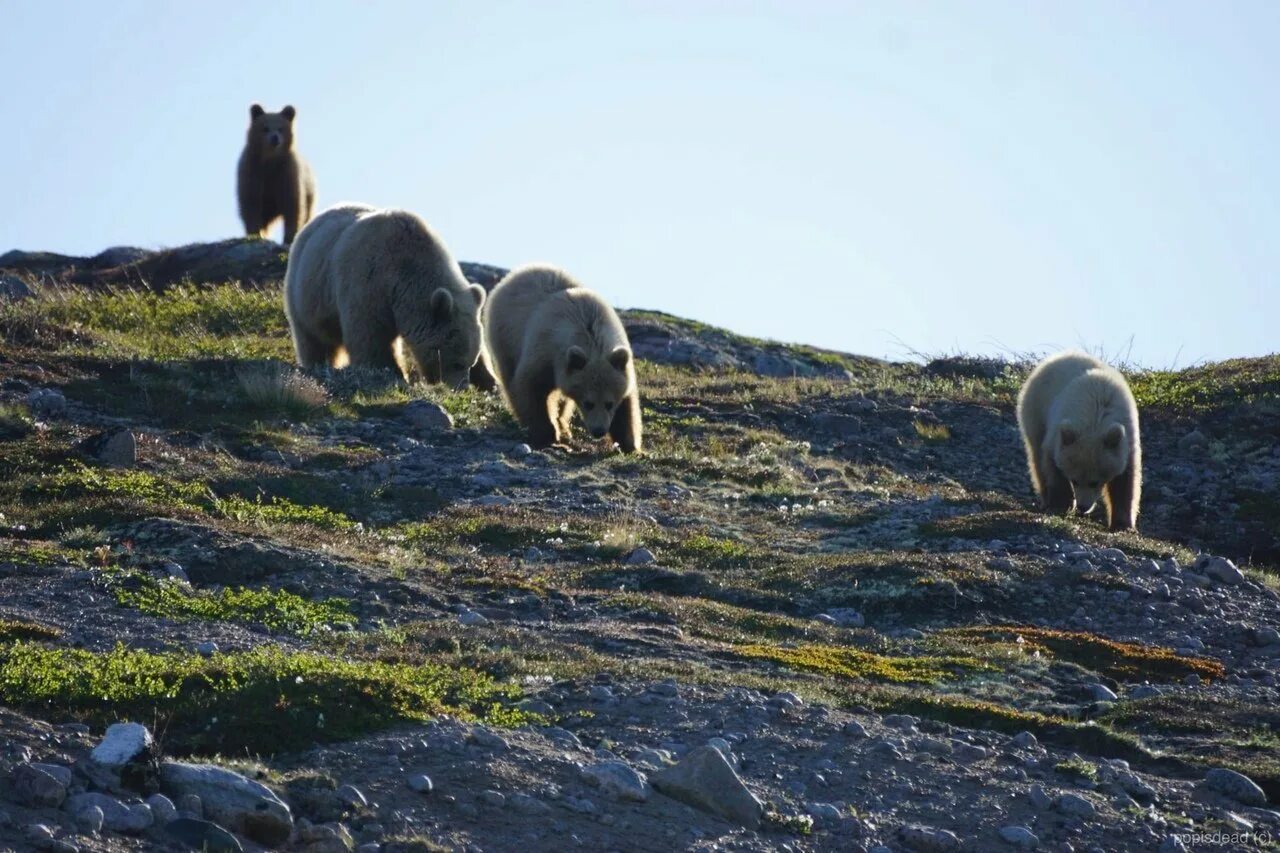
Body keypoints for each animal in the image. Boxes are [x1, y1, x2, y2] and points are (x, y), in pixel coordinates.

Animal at [240, 103, 320, 242]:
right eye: (265, 128)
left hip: (309, 193)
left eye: (281, 128)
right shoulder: (253, 172)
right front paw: (254, 233)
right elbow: (251, 204)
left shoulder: (286, 173)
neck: (270, 161)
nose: (274, 138)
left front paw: (289, 236)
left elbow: (293, 206)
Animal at [282, 201, 486, 386]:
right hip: (306, 291)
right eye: (457, 363)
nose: (461, 387)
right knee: (313, 338)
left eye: (471, 362)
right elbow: (369, 335)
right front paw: (392, 373)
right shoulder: (368, 281)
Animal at [481, 263, 640, 450]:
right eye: (588, 403)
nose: (599, 430)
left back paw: (563, 425)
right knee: (510, 377)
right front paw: (546, 434)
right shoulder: (544, 351)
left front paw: (630, 444)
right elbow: (530, 386)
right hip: (506, 336)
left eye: (609, 403)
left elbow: (627, 403)